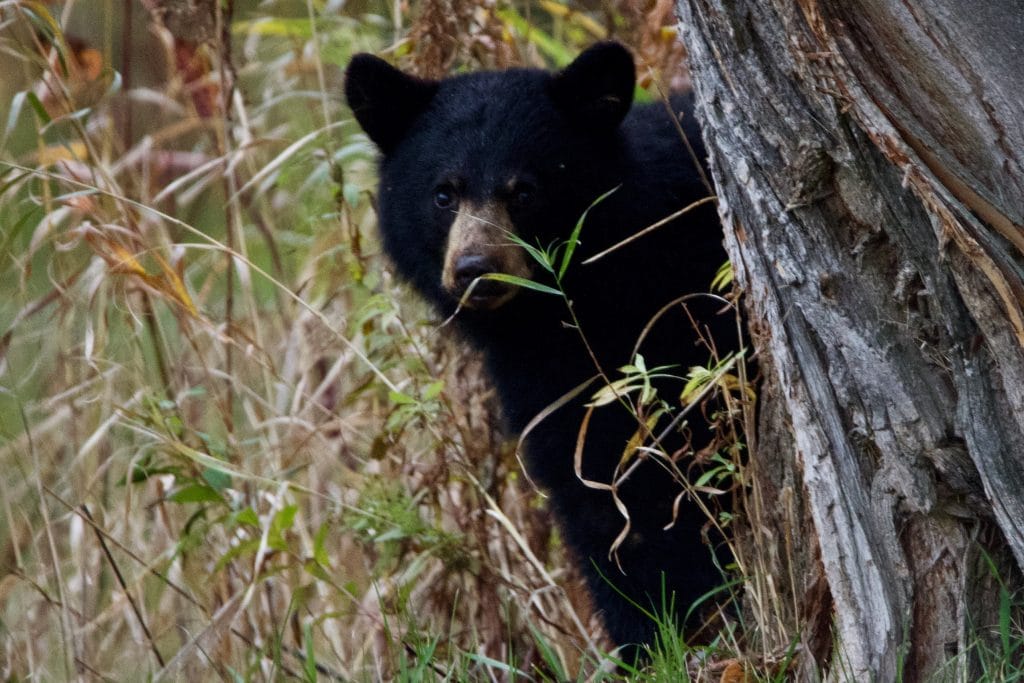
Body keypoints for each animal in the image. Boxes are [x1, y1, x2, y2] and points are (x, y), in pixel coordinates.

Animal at [344, 41, 736, 655]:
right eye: (443, 194)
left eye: (524, 192)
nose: (475, 269)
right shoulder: (548, 379)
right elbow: (595, 492)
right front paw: (650, 635)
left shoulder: (680, 313)